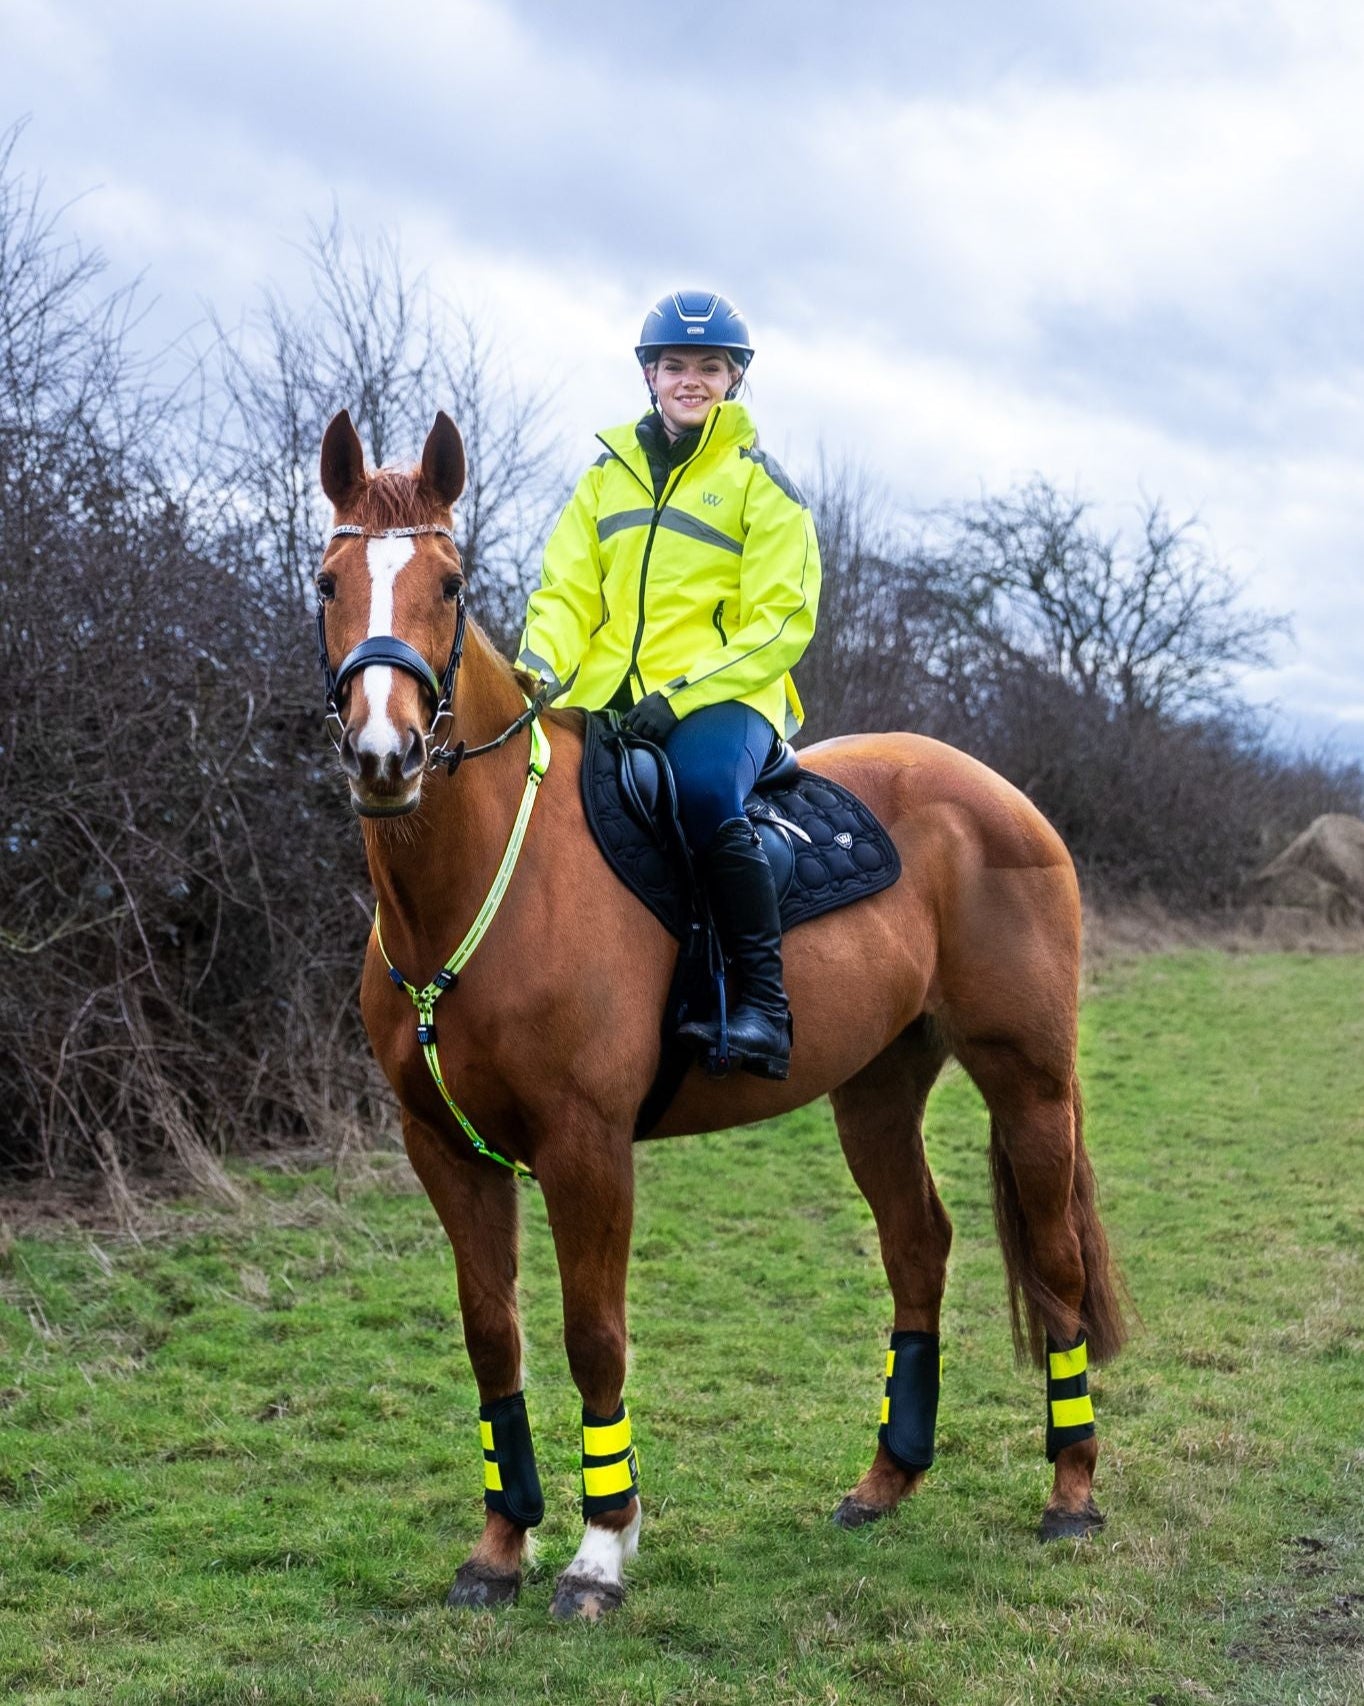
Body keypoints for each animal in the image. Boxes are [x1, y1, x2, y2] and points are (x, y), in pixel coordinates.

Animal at [314, 408, 1126, 1621]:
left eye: (450, 584)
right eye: (327, 582)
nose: (384, 753)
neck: (488, 879)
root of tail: (998, 794)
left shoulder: (587, 1149)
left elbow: (593, 1337)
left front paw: (600, 1550)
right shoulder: (443, 1151)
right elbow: (492, 1337)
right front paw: (501, 1544)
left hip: (1025, 1080)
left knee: (1057, 1261)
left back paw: (1070, 1491)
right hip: (875, 1089)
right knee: (916, 1243)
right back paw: (887, 1476)